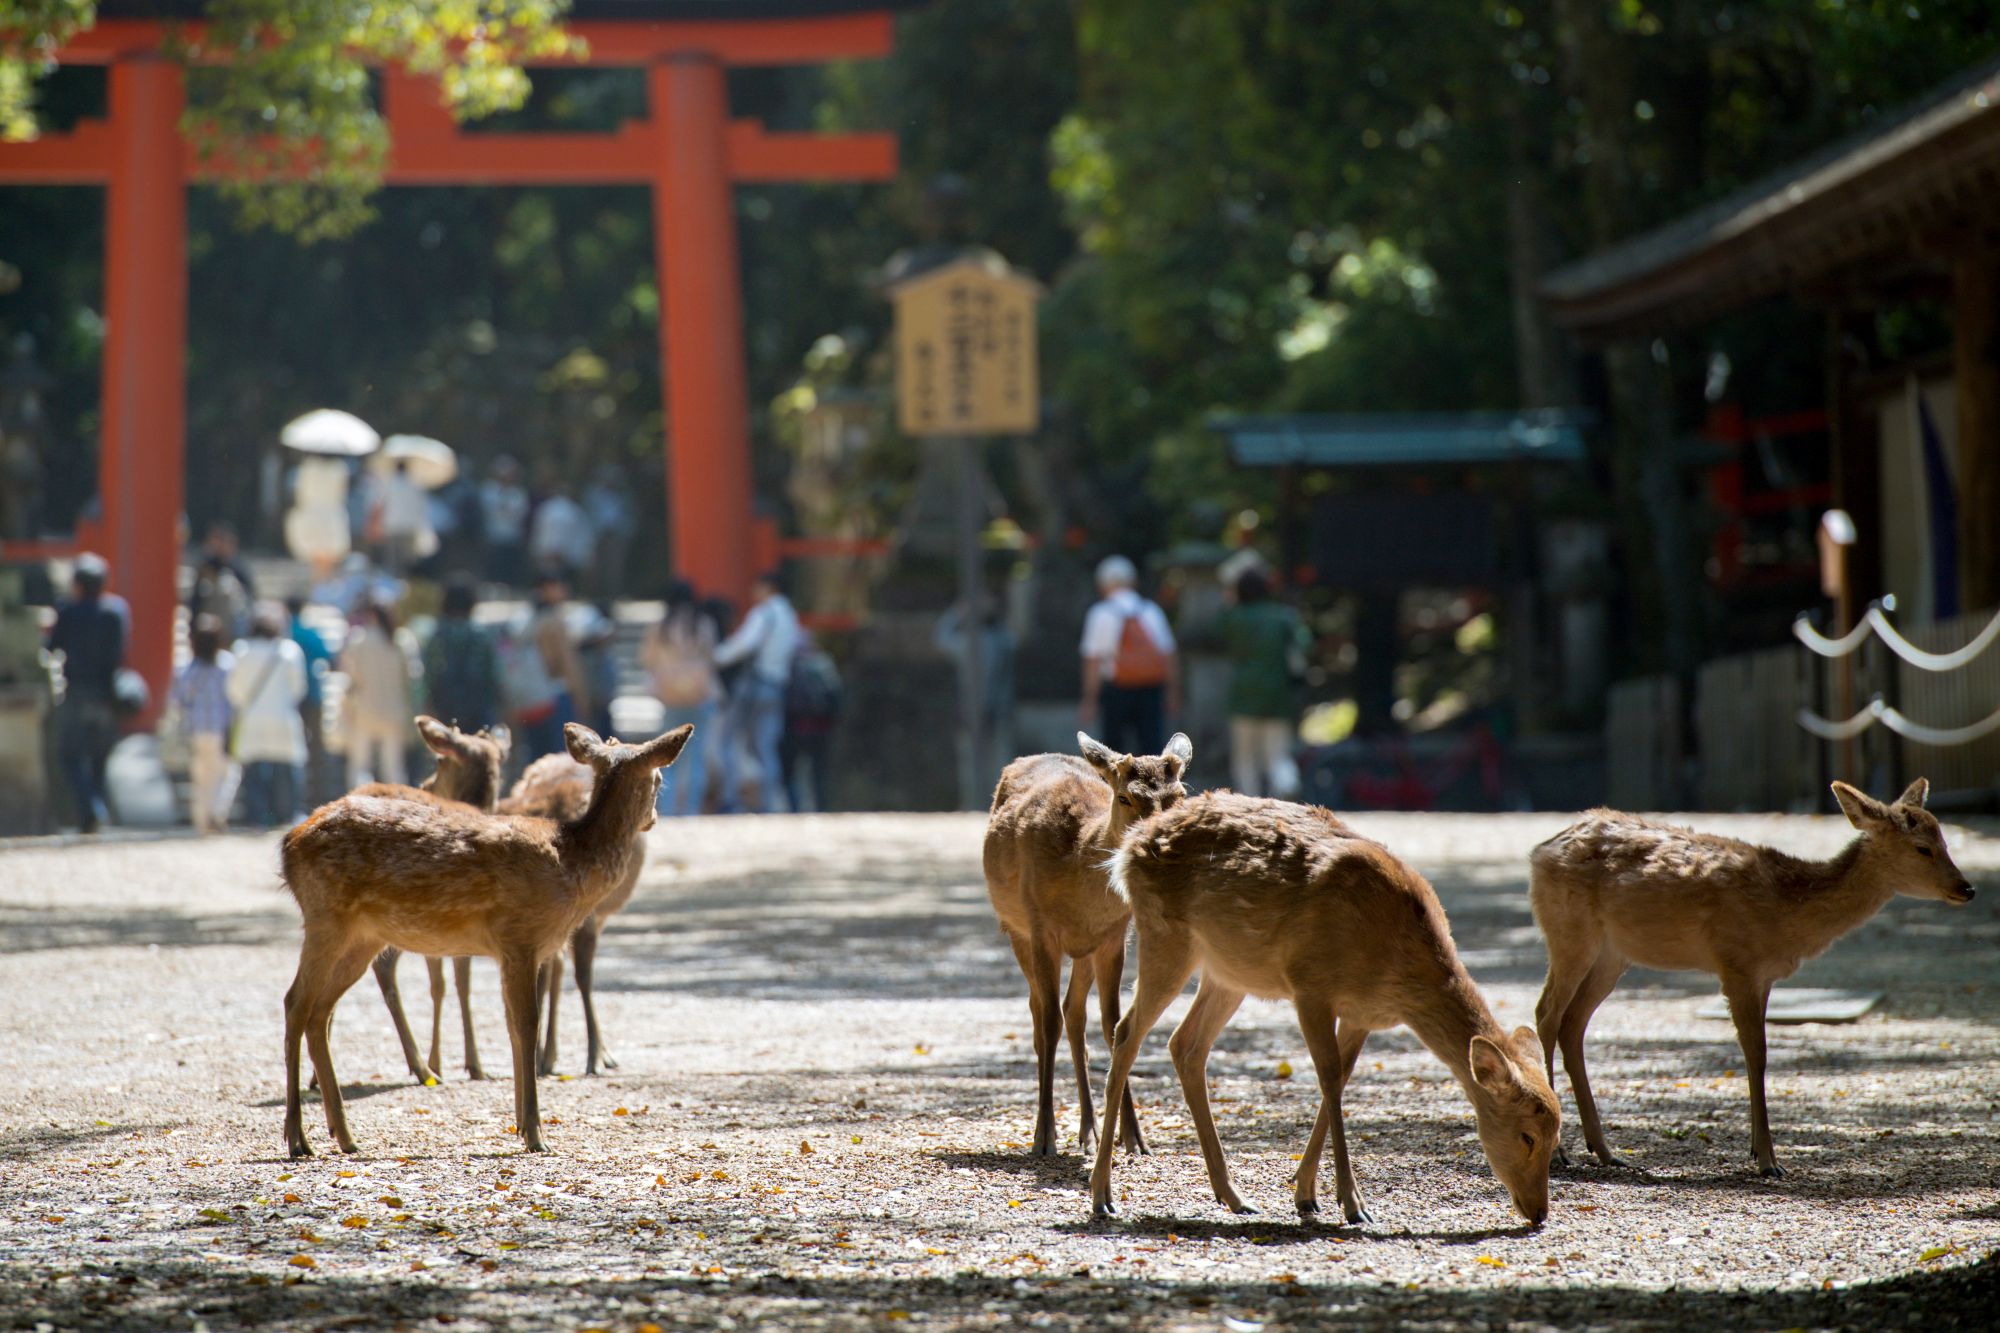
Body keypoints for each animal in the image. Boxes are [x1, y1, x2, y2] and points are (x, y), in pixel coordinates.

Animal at [345, 717, 510, 1085]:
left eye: (438, 760)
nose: (426, 783)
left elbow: (449, 984)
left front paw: (458, 1063)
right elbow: (452, 985)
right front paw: (468, 1064)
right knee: (380, 968)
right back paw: (421, 1066)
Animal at [495, 753, 647, 1077]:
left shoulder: (586, 917)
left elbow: (583, 976)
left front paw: (596, 1057)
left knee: (564, 968)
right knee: (556, 966)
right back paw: (548, 1055)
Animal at [982, 731, 1193, 1157]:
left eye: (1179, 795)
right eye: (1125, 797)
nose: (1160, 842)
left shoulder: (1114, 937)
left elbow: (1113, 1025)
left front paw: (1133, 1137)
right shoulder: (1041, 929)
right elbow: (1049, 1022)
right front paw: (1044, 1138)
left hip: (1084, 950)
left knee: (1074, 1012)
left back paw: (1090, 1131)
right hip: (1016, 930)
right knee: (1040, 1012)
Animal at [1093, 791, 1559, 1227]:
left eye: (1557, 1137)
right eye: (1527, 1136)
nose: (1539, 1212)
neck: (1394, 966)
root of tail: (1127, 849)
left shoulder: (1361, 1014)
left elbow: (1341, 1078)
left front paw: (1306, 1195)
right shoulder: (1310, 985)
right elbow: (1330, 1079)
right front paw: (1353, 1203)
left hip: (1228, 973)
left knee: (1185, 1044)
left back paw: (1234, 1195)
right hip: (1164, 937)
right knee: (1126, 1032)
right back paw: (1102, 1195)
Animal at [1529, 777, 1975, 1178]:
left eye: (1946, 842)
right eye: (1922, 848)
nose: (1967, 888)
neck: (1786, 908)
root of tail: (1539, 851)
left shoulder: (1764, 976)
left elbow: (1758, 1054)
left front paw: (1761, 1153)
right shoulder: (1737, 963)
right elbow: (1756, 1053)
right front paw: (1767, 1160)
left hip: (1613, 954)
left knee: (1573, 1022)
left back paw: (1606, 1152)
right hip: (1569, 931)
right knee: (1546, 1014)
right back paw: (1558, 1153)